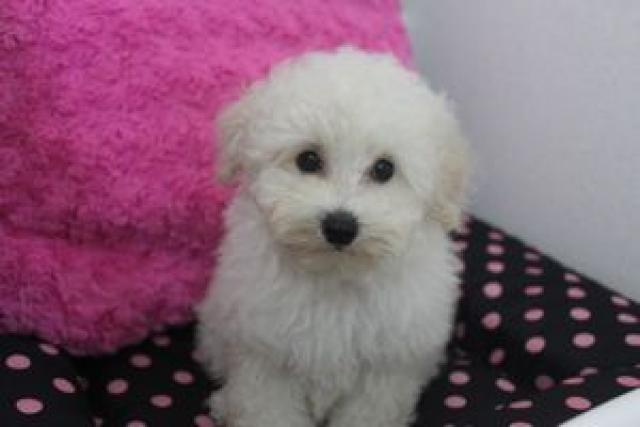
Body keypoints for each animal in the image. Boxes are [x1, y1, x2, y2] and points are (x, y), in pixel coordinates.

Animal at [196, 46, 470, 427]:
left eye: (384, 168)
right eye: (308, 159)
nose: (340, 226)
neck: (335, 277)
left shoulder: (388, 366)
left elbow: (368, 410)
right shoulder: (262, 352)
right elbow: (268, 408)